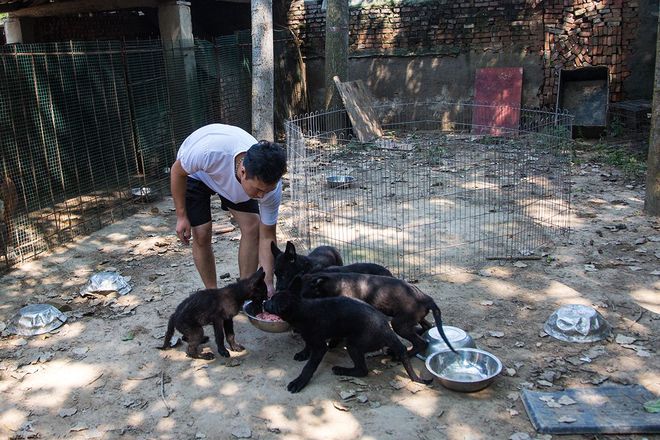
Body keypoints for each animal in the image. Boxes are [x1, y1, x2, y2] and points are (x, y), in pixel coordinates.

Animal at [262, 276, 434, 394]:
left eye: (272, 302)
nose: (263, 302)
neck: (302, 310)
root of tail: (387, 330)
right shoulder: (310, 338)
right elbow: (306, 345)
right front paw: (303, 353)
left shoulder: (319, 347)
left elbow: (309, 367)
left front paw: (299, 382)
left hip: (354, 345)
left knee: (363, 370)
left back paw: (341, 370)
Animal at [302, 272, 456, 358]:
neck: (335, 283)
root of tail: (427, 299)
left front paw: (334, 343)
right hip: (415, 318)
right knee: (427, 327)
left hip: (399, 324)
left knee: (422, 342)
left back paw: (402, 356)